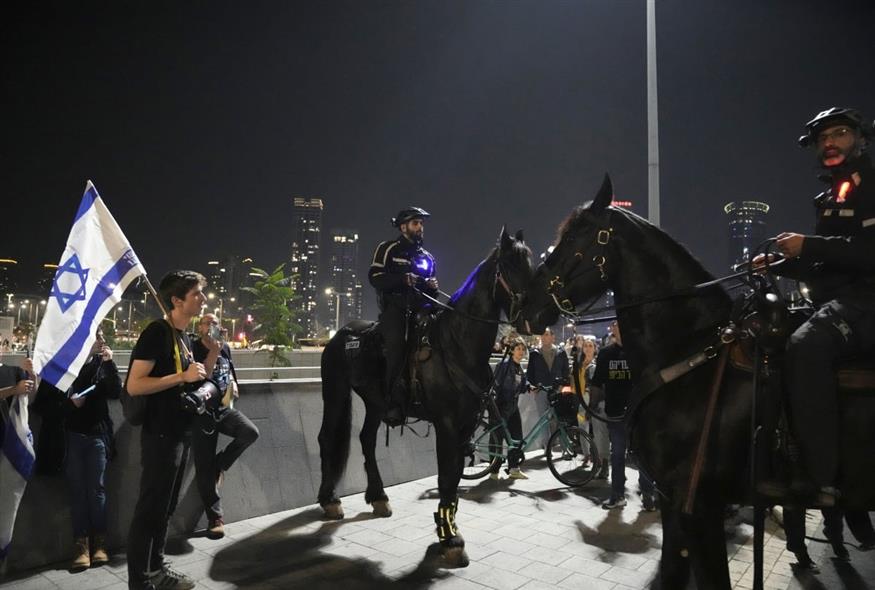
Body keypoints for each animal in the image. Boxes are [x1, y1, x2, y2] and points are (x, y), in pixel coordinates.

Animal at [318, 228, 532, 568]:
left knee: (367, 439)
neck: (457, 344)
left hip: (376, 402)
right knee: (328, 437)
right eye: (511, 264)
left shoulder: (465, 426)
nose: (531, 313)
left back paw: (378, 496)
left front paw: (449, 529)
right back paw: (330, 500)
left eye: (531, 261)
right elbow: (446, 477)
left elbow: (454, 479)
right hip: (335, 391)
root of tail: (343, 333)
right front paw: (450, 539)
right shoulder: (446, 425)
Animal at [516, 177, 875, 590]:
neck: (692, 351)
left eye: (577, 235)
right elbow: (672, 571)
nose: (524, 304)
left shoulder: (701, 506)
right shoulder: (675, 501)